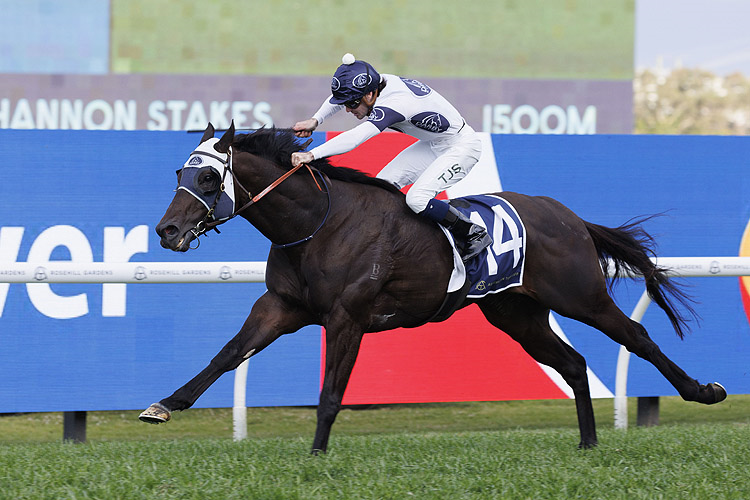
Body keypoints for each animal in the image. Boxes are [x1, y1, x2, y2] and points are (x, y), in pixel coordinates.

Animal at [138, 123, 724, 452]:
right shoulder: (281, 306)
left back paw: (703, 391)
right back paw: (587, 441)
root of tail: (570, 217)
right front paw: (164, 405)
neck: (318, 222)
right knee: (575, 363)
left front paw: (316, 455)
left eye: (209, 178)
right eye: (178, 174)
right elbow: (229, 354)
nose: (167, 230)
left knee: (636, 338)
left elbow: (331, 394)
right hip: (516, 314)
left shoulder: (347, 317)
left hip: (580, 295)